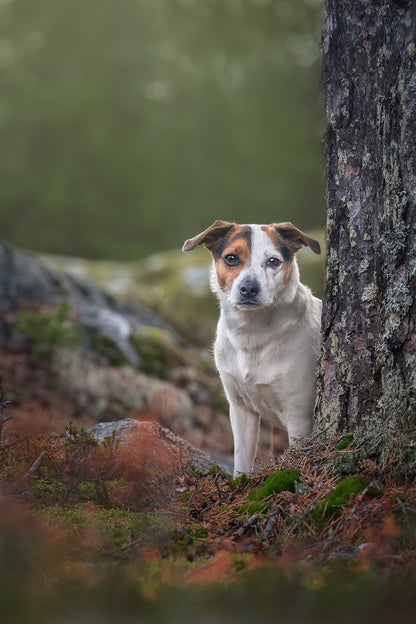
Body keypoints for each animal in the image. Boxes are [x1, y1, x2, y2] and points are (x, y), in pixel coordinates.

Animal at [182, 222, 322, 476]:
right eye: (231, 258)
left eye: (273, 261)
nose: (249, 288)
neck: (251, 333)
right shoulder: (240, 409)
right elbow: (242, 460)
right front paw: (240, 481)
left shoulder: (300, 417)